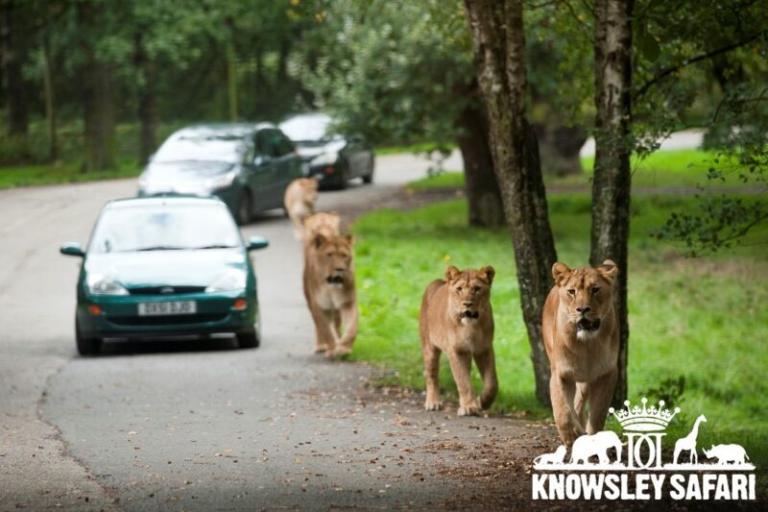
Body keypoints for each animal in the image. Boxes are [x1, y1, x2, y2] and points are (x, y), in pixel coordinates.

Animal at [419, 265, 497, 416]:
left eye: (477, 289)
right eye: (459, 289)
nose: (467, 304)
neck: (471, 327)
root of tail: (437, 282)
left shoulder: (484, 349)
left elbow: (492, 383)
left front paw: (483, 402)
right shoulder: (457, 351)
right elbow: (463, 381)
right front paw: (469, 407)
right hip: (429, 348)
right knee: (431, 375)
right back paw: (433, 402)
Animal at [542, 260, 619, 447]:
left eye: (595, 289)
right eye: (572, 291)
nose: (583, 309)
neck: (587, 346)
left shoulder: (607, 374)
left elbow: (598, 414)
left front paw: (592, 438)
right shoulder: (560, 374)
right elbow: (563, 411)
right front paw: (570, 437)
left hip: (586, 381)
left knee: (579, 400)